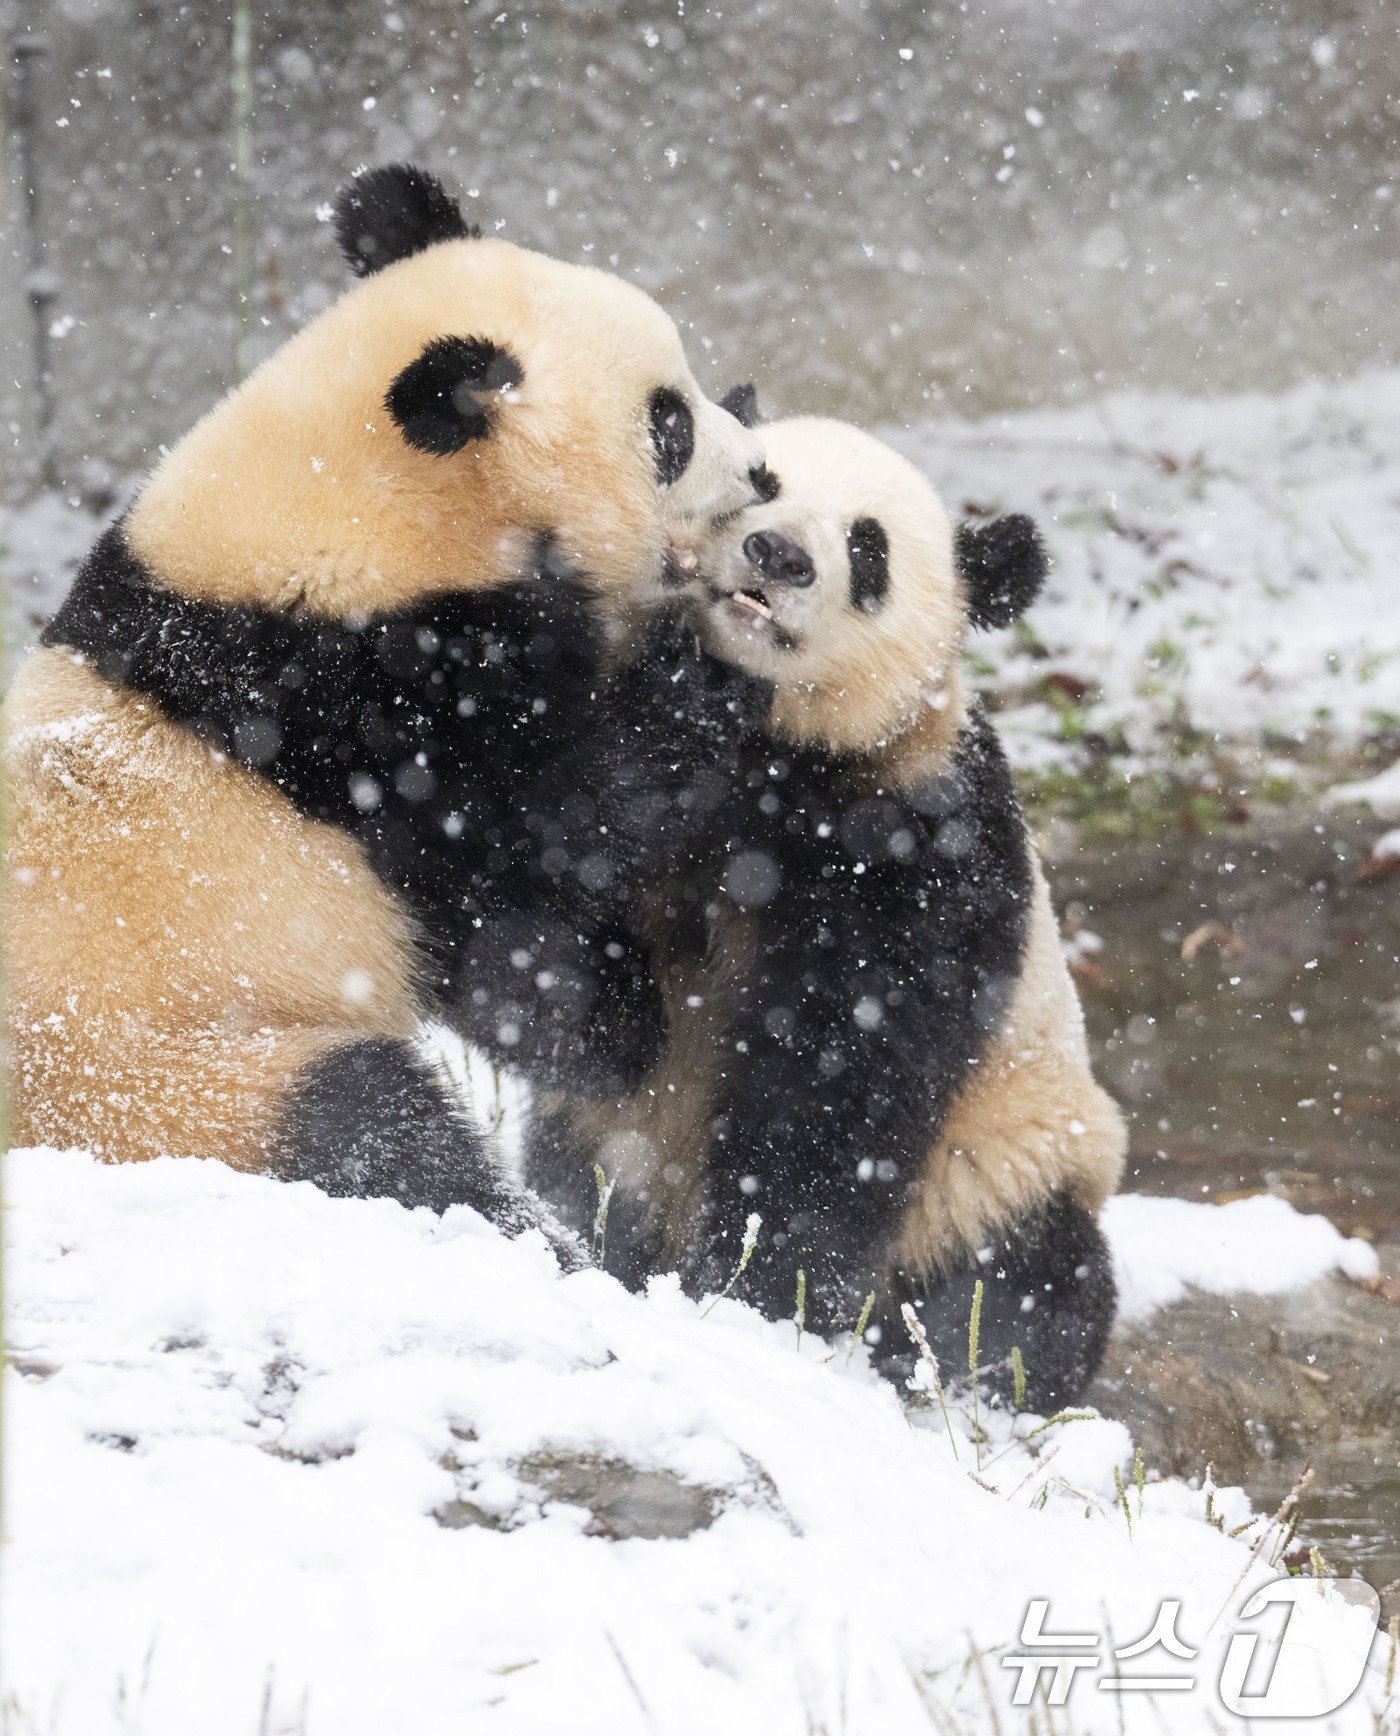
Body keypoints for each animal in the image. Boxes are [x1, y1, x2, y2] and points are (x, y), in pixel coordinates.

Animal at [2, 165, 767, 1249]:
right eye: (670, 426)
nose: (763, 474)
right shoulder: (361, 708)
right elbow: (553, 826)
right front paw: (701, 675)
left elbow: (514, 958)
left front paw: (624, 1026)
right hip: (159, 1085)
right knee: (367, 1127)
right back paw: (535, 1236)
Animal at [528, 402, 1132, 1395]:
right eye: (761, 482)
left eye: (868, 548)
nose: (776, 555)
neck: (776, 742)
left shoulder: (913, 835)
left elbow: (842, 1070)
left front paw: (760, 1293)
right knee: (582, 1174)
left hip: (1006, 1156)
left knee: (1025, 1279)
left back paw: (956, 1362)